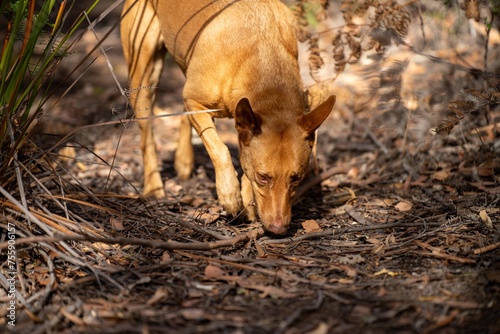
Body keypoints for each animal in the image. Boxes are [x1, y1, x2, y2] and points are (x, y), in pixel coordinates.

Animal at [120, 0, 336, 235]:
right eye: (263, 177)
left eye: (295, 178)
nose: (279, 229)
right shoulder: (196, 104)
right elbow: (219, 149)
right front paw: (230, 196)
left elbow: (243, 163)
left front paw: (246, 201)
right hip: (144, 73)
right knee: (146, 134)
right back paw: (153, 185)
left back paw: (184, 160)